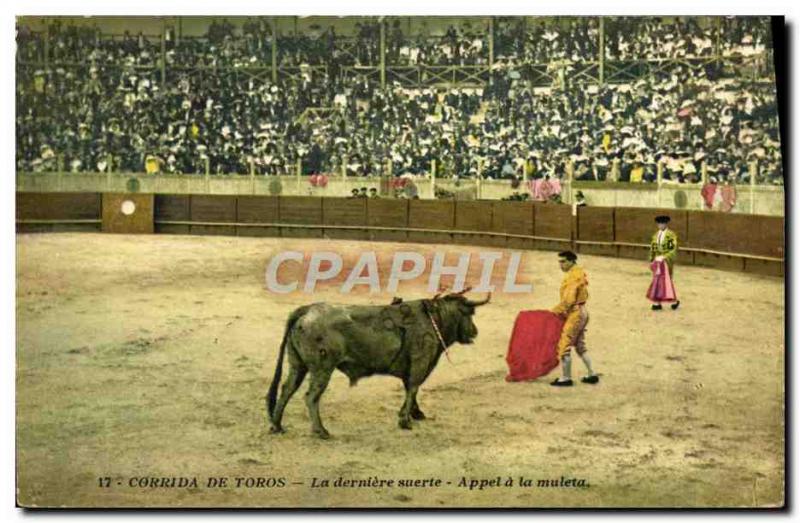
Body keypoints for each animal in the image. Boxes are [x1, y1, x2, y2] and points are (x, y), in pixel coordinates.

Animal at [268, 292, 488, 440]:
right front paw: (405, 421)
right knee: (311, 397)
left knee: (287, 389)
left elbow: (411, 389)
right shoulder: (420, 362)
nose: (476, 331)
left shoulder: (412, 368)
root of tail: (308, 309)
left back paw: (277, 426)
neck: (433, 319)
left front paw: (414, 414)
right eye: (470, 313)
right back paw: (321, 431)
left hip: (297, 365)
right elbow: (414, 387)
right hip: (322, 368)